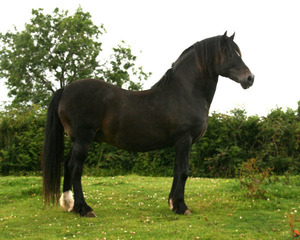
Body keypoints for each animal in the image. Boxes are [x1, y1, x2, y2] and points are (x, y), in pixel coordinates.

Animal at [41, 32, 253, 218]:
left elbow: (176, 171)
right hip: (83, 139)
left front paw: (172, 203)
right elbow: (184, 171)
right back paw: (85, 209)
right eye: (230, 54)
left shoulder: (179, 143)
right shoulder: (184, 139)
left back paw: (70, 205)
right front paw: (182, 207)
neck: (183, 92)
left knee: (67, 164)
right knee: (76, 168)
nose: (250, 78)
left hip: (77, 140)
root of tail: (65, 89)